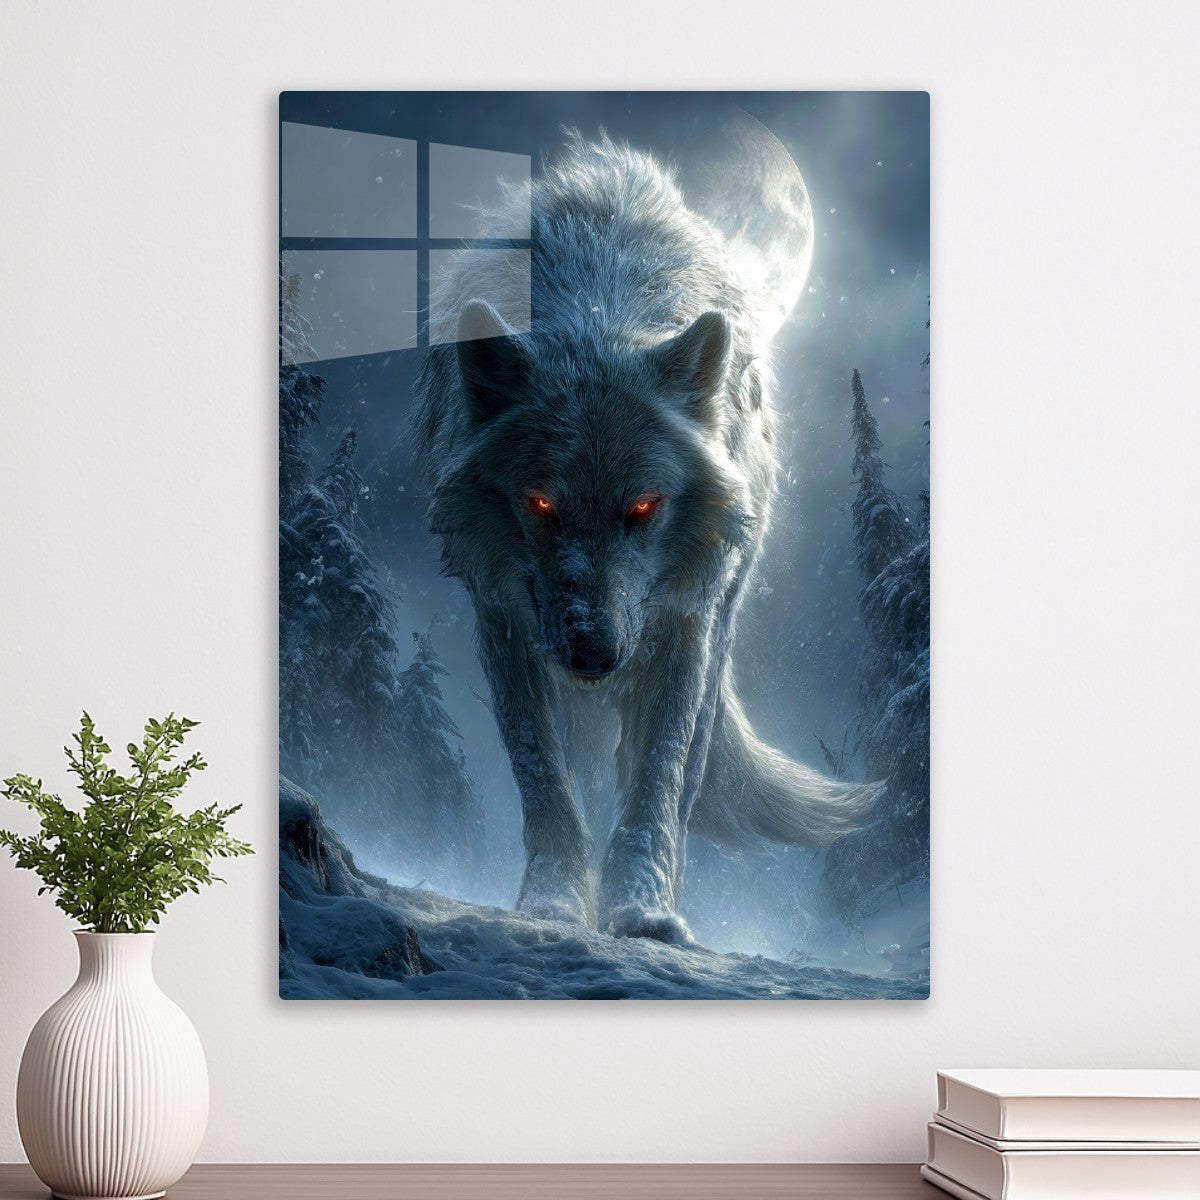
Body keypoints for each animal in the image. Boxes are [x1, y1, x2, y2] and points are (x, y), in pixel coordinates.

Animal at [414, 131, 880, 943]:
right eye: (542, 501)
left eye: (642, 506)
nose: (593, 653)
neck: (599, 301)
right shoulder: (504, 613)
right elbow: (543, 777)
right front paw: (553, 906)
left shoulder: (680, 621)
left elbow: (658, 776)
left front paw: (643, 911)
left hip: (718, 613)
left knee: (685, 772)